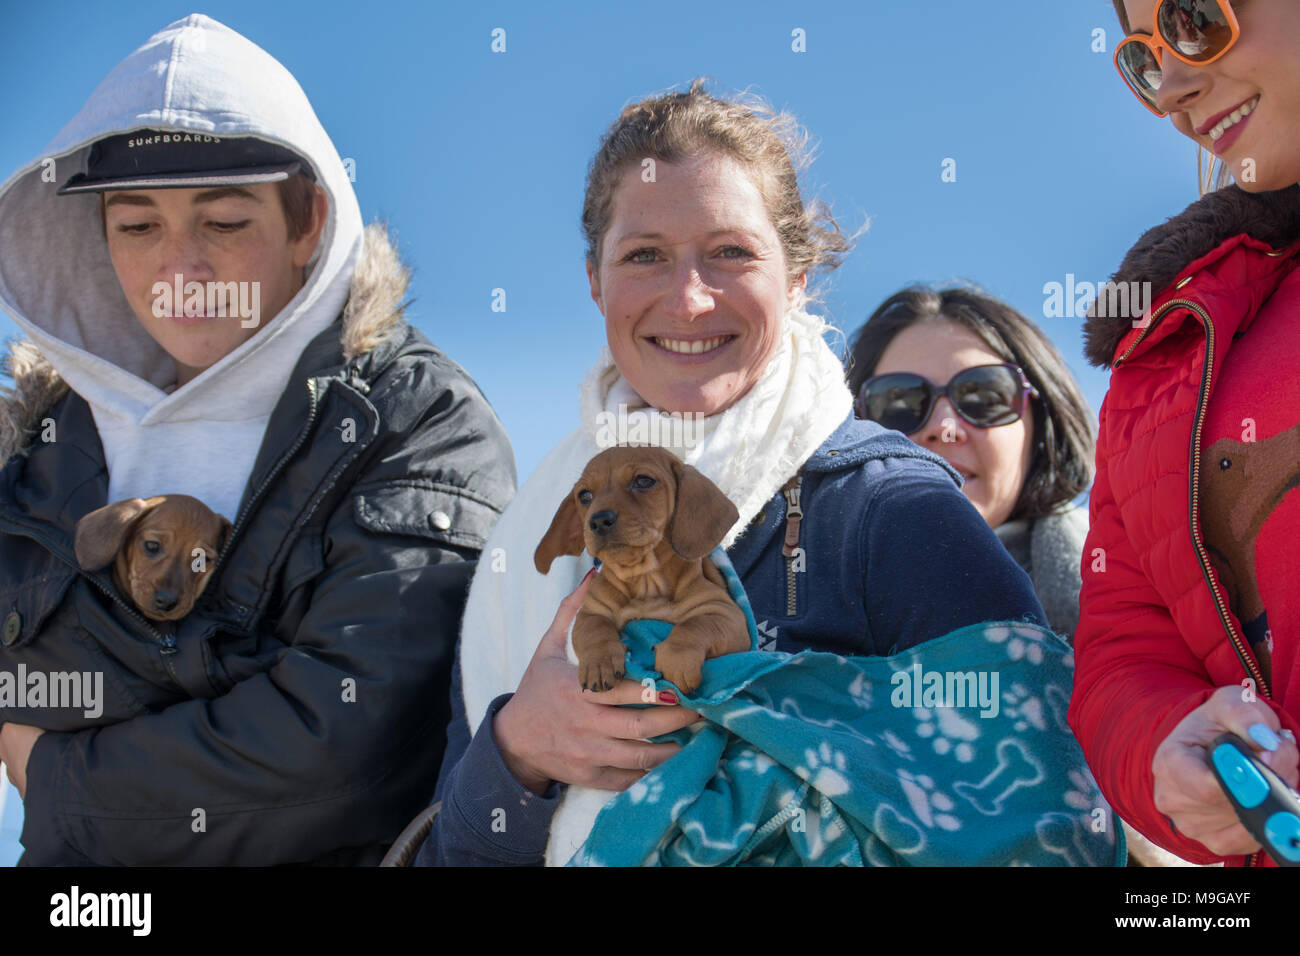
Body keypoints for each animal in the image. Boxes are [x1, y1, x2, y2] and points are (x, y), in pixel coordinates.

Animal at [530, 447, 754, 697]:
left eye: (643, 481)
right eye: (585, 495)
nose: (598, 520)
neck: (646, 583)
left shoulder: (729, 616)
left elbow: (695, 626)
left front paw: (677, 658)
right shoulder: (590, 612)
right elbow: (596, 631)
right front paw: (600, 663)